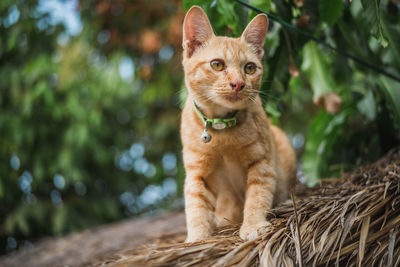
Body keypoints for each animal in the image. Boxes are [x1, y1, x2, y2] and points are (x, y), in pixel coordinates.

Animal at [181, 6, 296, 242]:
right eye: (217, 65)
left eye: (250, 68)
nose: (238, 84)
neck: (221, 128)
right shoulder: (197, 173)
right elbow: (196, 207)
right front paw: (197, 238)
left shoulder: (262, 163)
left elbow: (257, 197)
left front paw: (252, 225)